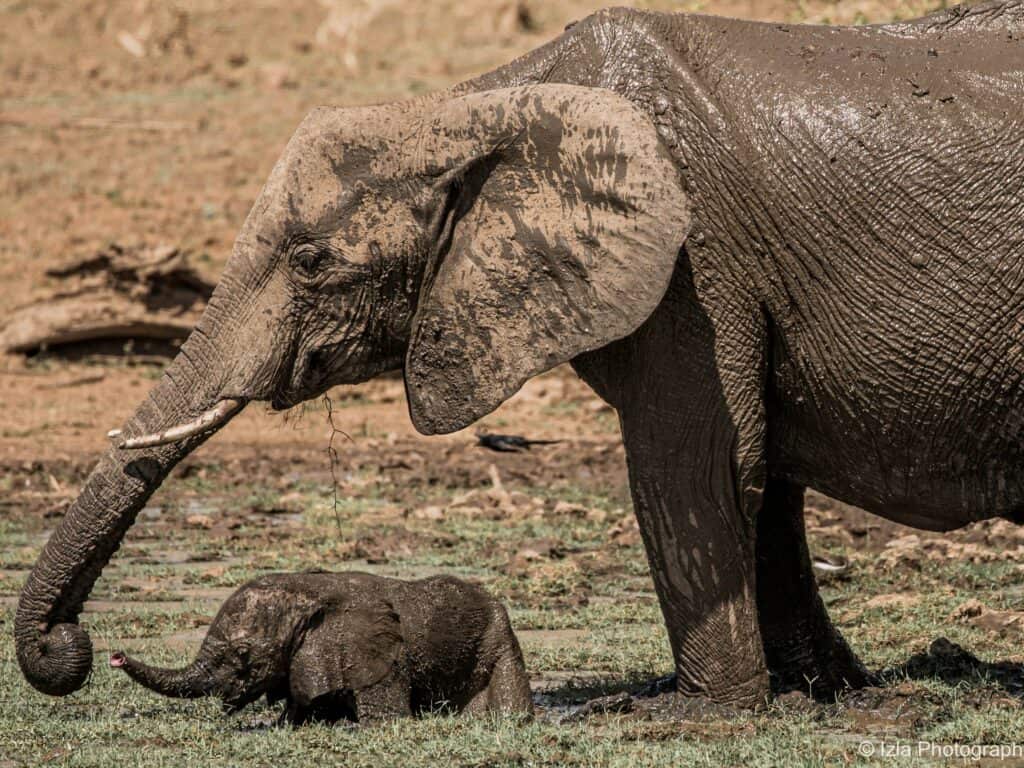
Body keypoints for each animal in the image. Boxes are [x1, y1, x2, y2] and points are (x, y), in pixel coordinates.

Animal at [14, 1, 1024, 708]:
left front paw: (693, 716)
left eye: (309, 262)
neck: (479, 104)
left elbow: (697, 466)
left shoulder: (694, 266)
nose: (69, 651)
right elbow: (765, 473)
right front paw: (825, 693)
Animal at [109, 573, 532, 729]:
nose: (116, 656)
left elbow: (387, 720)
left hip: (501, 642)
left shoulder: (378, 660)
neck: (309, 594)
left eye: (242, 654)